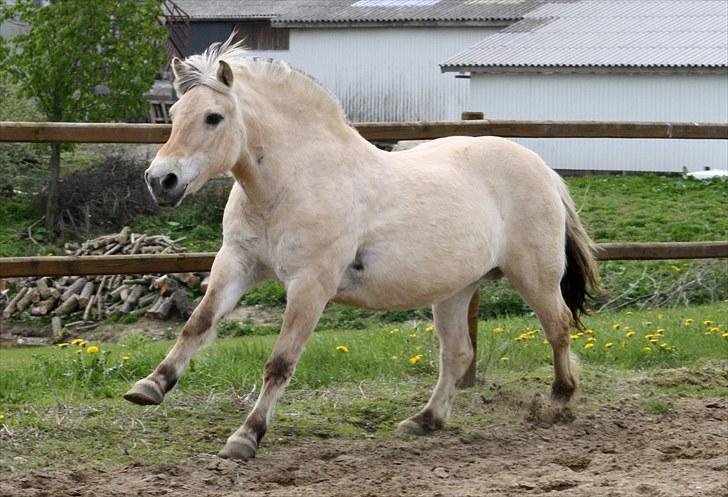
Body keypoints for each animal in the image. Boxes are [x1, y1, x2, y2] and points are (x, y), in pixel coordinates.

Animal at [125, 35, 596, 462]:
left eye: (214, 117)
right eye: (174, 114)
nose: (160, 180)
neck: (293, 181)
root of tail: (544, 170)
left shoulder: (310, 284)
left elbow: (280, 361)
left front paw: (246, 437)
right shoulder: (236, 263)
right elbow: (197, 325)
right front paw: (149, 387)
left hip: (534, 275)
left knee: (557, 327)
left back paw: (557, 402)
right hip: (456, 289)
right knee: (458, 354)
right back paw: (424, 421)